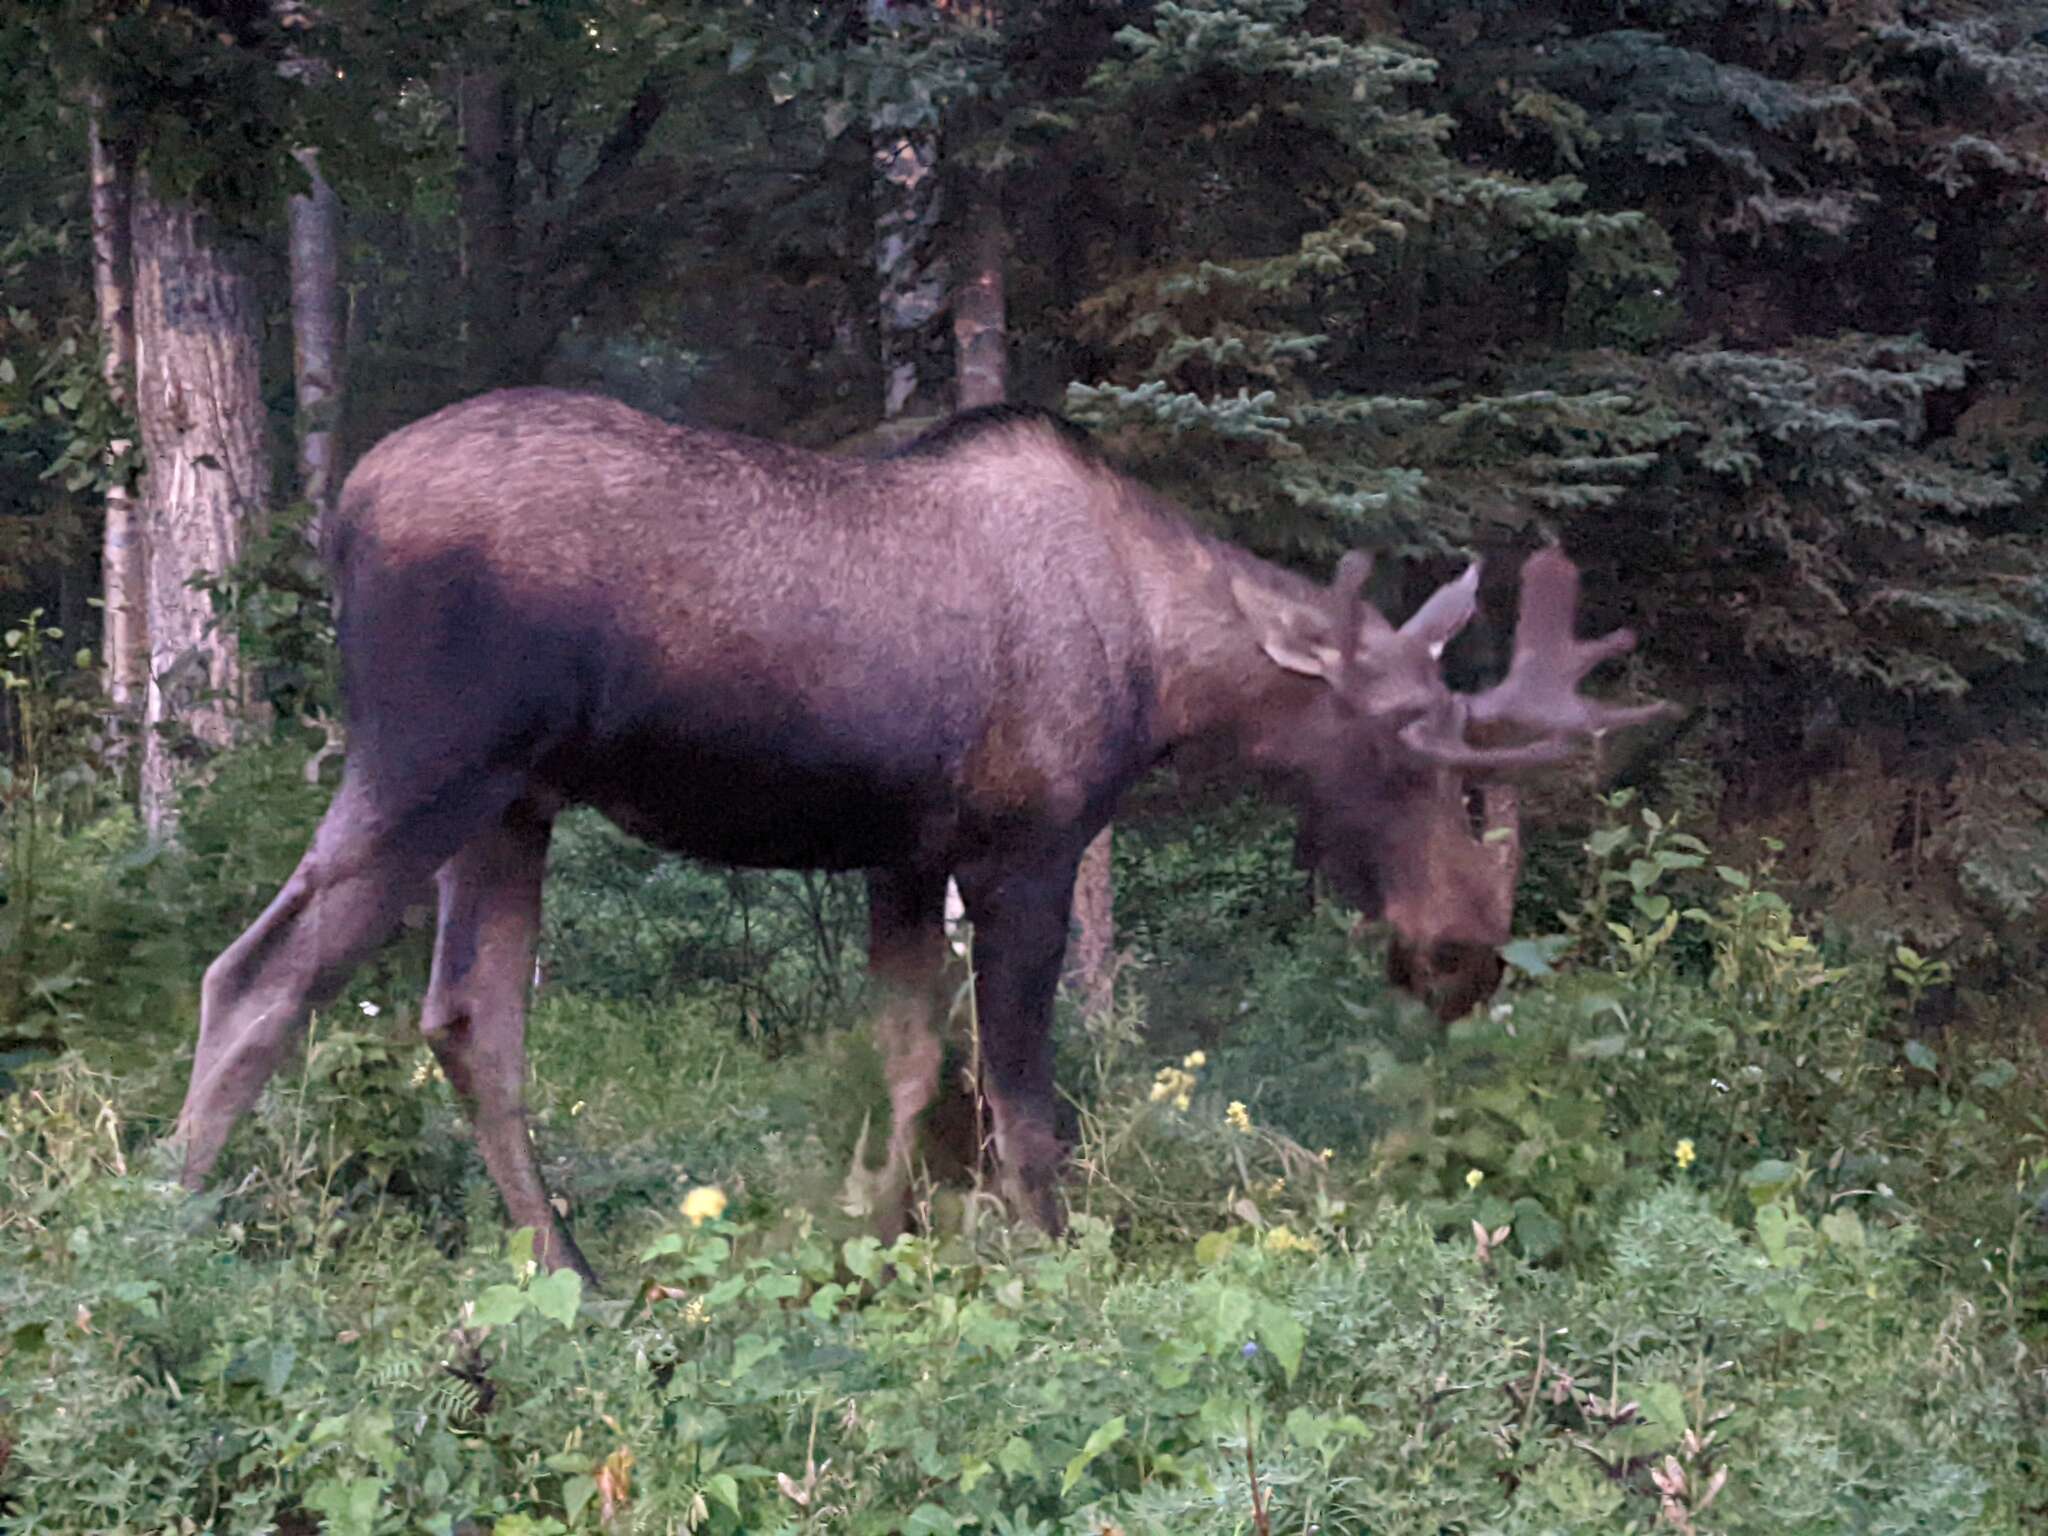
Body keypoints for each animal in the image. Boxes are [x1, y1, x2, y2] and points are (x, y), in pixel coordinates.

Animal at [172, 391, 1679, 1277]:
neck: (1168, 672)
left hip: (514, 805)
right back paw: (163, 1243)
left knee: (467, 1018)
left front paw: (880, 1251)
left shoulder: (900, 856)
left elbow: (907, 1069)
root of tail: (343, 508)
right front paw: (1057, 1268)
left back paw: (573, 1276)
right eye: (1416, 754)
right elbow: (1022, 1102)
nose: (1462, 956)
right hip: (432, 759)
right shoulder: (1027, 848)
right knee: (255, 975)